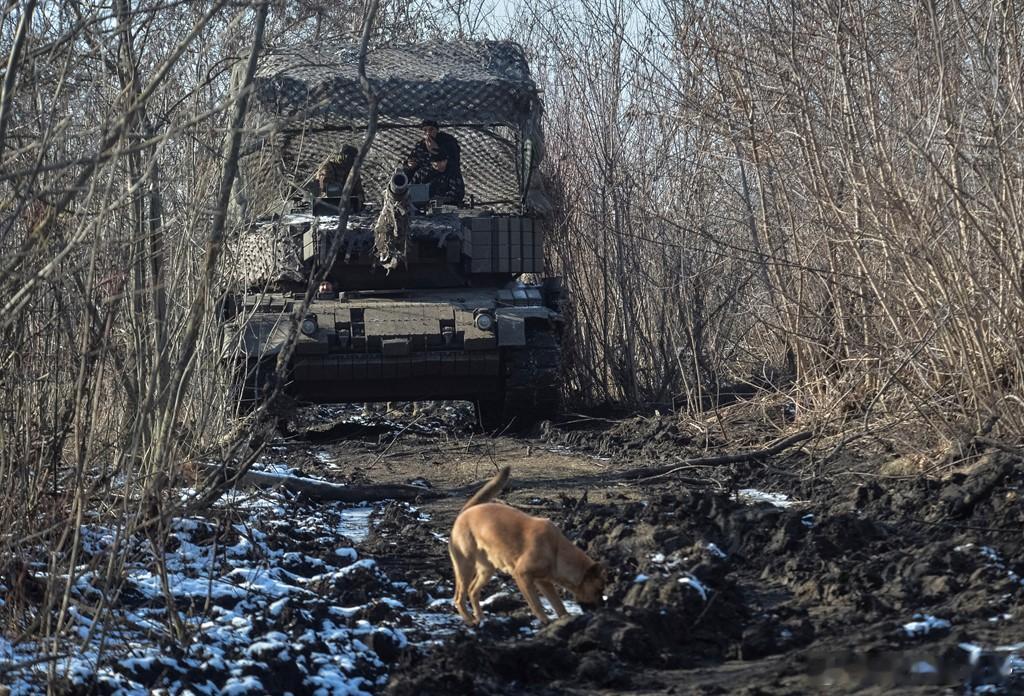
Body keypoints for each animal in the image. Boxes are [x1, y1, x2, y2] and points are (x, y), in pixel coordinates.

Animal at [446, 466, 602, 626]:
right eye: (598, 590)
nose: (603, 608)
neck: (556, 551)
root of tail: (465, 512)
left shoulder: (544, 582)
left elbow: (559, 605)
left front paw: (565, 618)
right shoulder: (523, 576)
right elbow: (536, 605)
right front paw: (546, 622)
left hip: (486, 570)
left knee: (472, 591)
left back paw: (480, 617)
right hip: (465, 567)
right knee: (459, 598)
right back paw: (469, 621)